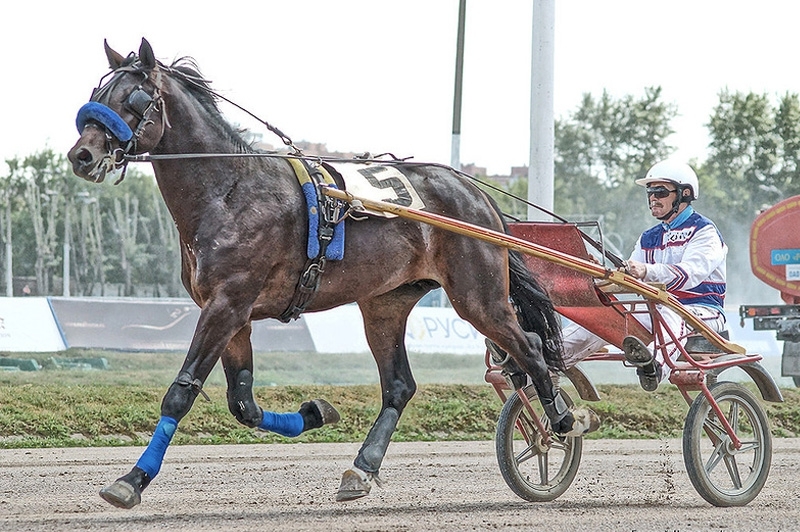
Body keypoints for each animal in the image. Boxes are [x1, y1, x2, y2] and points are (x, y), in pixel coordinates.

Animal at [69, 39, 592, 510]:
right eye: (98, 92)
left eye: (133, 98)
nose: (82, 155)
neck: (230, 189)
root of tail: (477, 195)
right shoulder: (232, 314)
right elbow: (242, 403)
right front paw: (314, 412)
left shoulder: (228, 304)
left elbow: (181, 394)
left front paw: (132, 481)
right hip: (385, 303)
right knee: (400, 385)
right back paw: (362, 469)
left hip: (478, 296)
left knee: (530, 350)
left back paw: (560, 425)